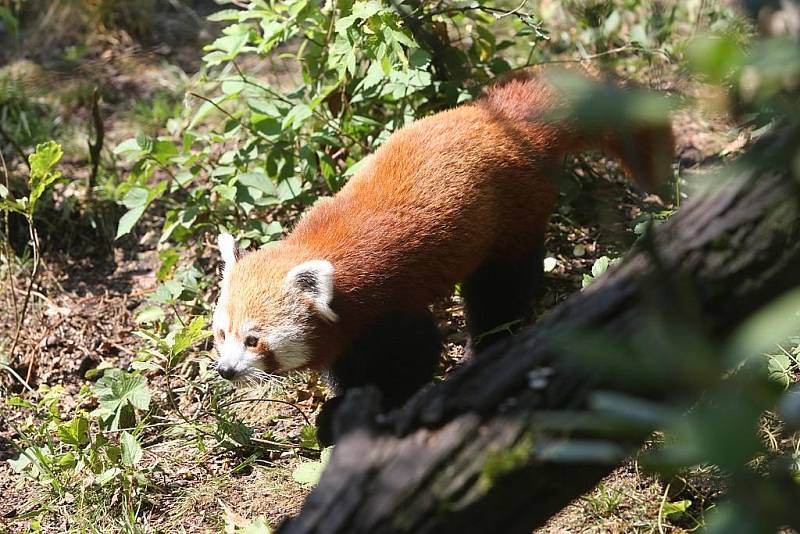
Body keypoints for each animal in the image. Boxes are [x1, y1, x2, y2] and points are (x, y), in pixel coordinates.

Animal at [212, 67, 676, 444]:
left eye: (253, 340)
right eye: (221, 334)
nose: (226, 370)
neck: (320, 248)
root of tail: (501, 120)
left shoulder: (386, 304)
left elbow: (415, 359)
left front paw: (339, 417)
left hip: (510, 219)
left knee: (500, 291)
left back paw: (487, 346)